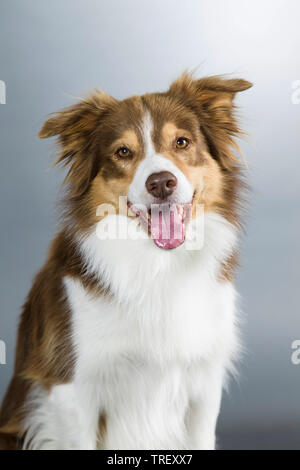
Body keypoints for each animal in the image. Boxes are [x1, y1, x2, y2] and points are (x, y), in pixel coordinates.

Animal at [0, 72, 252, 448]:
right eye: (123, 152)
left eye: (182, 142)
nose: (161, 183)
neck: (159, 265)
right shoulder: (72, 388)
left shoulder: (203, 383)